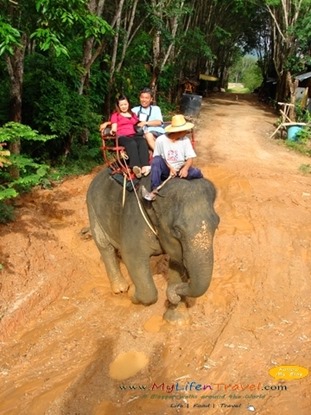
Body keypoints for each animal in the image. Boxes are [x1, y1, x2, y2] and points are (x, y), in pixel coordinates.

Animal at [86, 168, 221, 322]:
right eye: (176, 230)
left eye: (217, 224)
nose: (173, 295)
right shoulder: (135, 220)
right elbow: (132, 258)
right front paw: (132, 294)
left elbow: (176, 264)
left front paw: (176, 318)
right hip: (92, 208)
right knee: (104, 246)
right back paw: (120, 289)